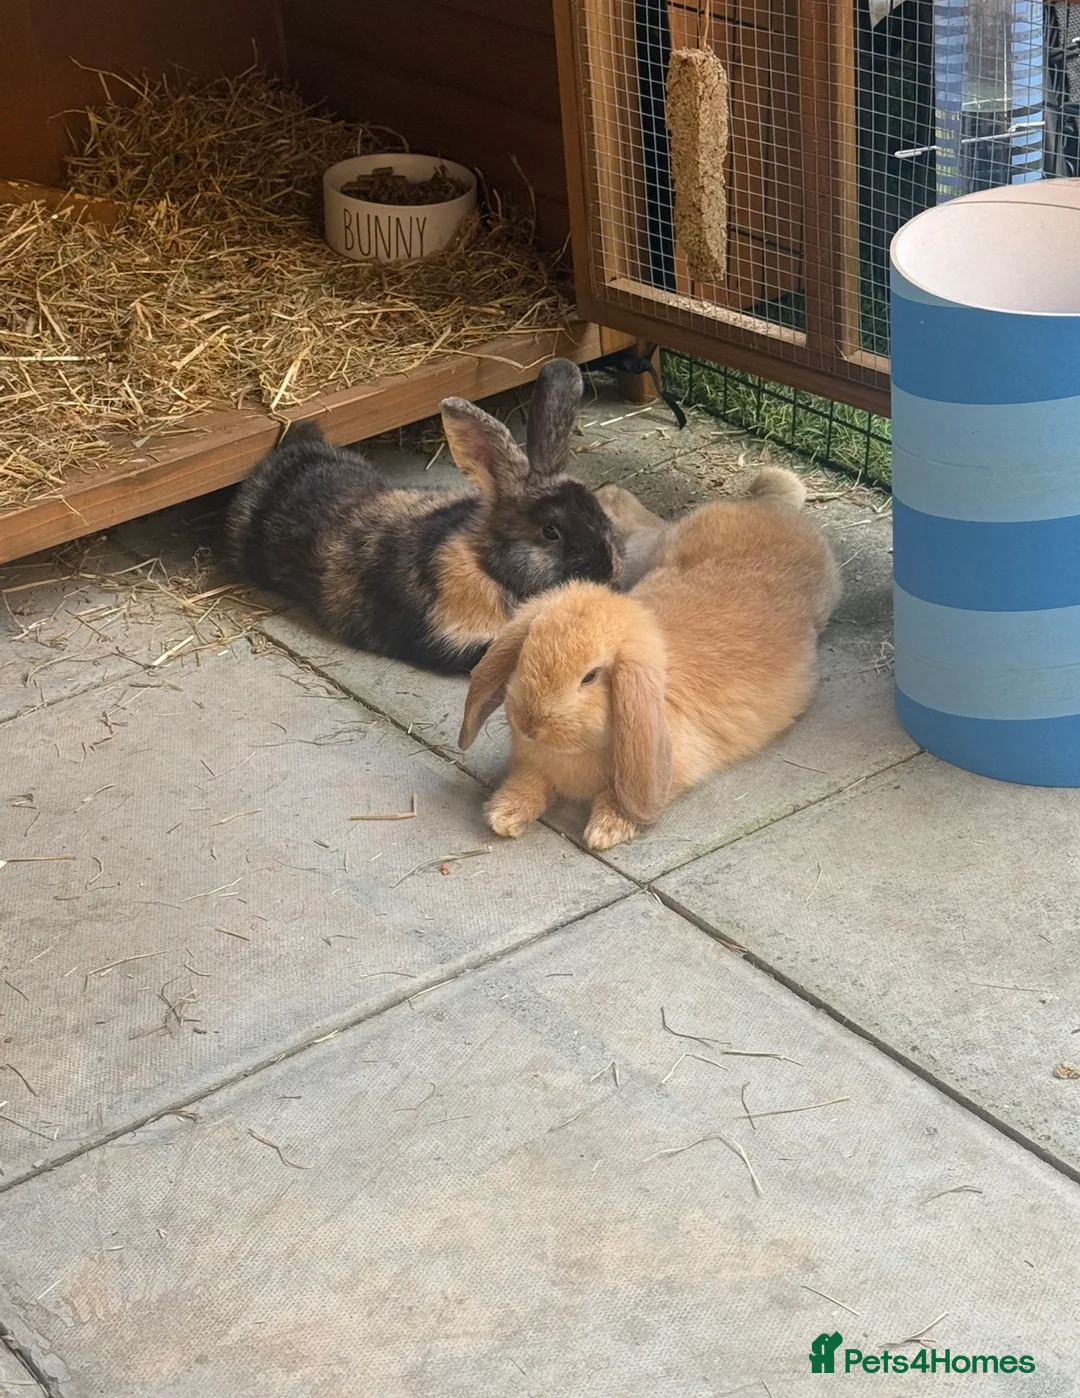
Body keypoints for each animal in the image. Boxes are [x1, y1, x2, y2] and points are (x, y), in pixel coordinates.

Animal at [459, 466, 840, 851]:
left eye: (590, 677)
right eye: (527, 653)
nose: (530, 724)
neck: (578, 747)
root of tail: (766, 507)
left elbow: (620, 795)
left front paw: (605, 831)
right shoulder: (532, 764)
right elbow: (528, 781)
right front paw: (504, 816)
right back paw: (610, 495)